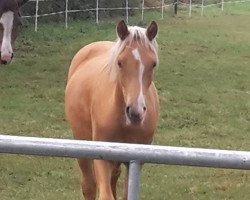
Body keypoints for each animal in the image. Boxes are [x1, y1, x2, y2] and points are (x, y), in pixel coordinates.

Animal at [65, 20, 160, 200]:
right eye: (120, 62)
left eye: (153, 64)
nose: (135, 112)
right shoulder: (102, 158)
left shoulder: (135, 161)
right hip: (81, 143)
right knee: (89, 185)